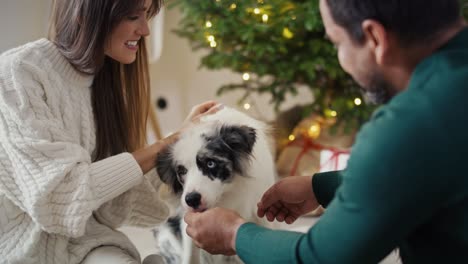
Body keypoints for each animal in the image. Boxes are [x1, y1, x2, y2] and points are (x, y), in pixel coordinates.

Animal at [154, 107, 278, 264]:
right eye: (181, 171)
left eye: (210, 163)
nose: (192, 199)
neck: (227, 194)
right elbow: (190, 256)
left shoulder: (260, 210)